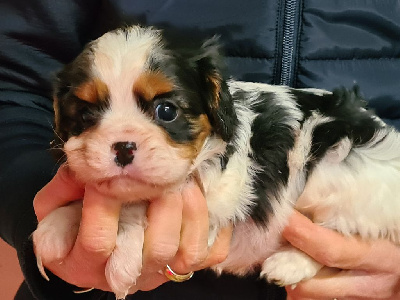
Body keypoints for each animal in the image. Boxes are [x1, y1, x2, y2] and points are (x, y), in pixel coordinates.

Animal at [32, 25, 400, 298]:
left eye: (167, 111)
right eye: (86, 114)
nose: (123, 146)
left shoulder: (222, 194)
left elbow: (141, 206)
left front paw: (123, 252)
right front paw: (56, 225)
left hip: (337, 175)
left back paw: (290, 262)